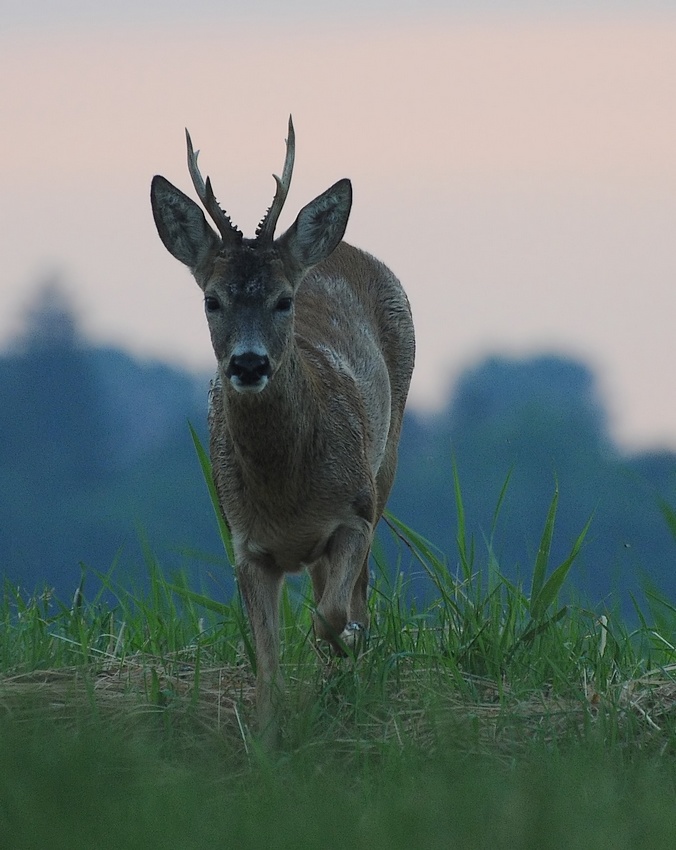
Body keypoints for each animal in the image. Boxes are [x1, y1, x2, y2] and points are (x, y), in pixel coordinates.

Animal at [151, 116, 414, 740]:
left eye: (284, 299)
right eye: (212, 300)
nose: (249, 364)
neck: (287, 496)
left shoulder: (354, 511)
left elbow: (332, 614)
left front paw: (346, 645)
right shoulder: (246, 545)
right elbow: (267, 670)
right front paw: (268, 740)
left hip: (388, 456)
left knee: (355, 589)